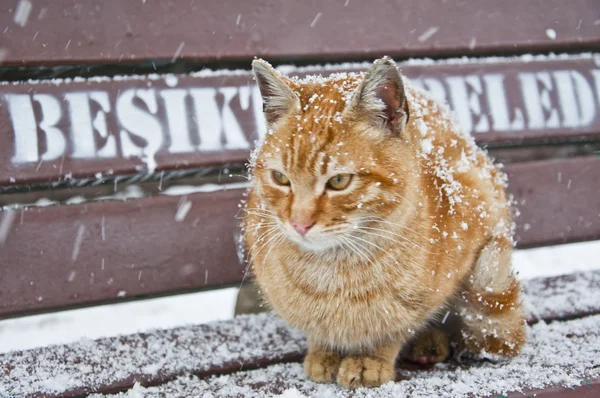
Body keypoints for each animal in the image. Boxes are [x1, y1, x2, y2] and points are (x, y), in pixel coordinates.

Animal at [244, 57, 524, 388]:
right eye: (280, 178)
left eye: (338, 181)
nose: (299, 223)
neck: (335, 273)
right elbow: (318, 329)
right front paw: (323, 351)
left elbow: (396, 327)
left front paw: (371, 359)